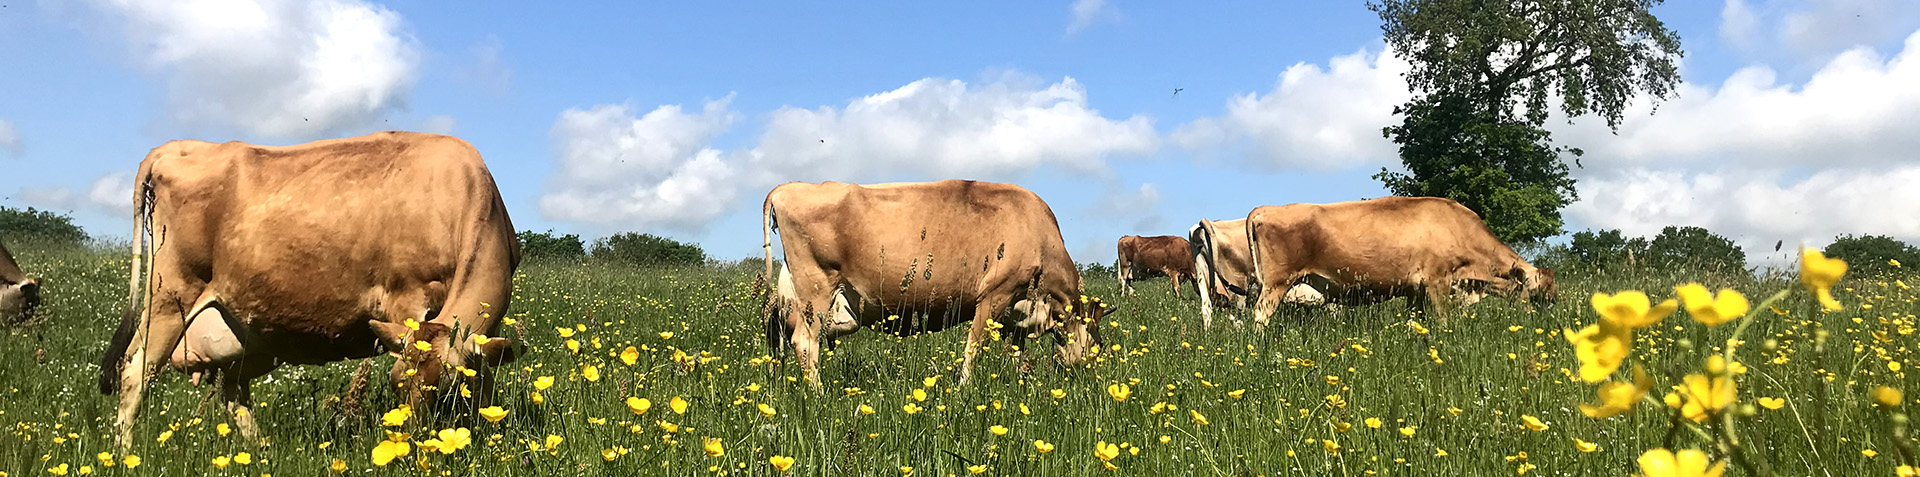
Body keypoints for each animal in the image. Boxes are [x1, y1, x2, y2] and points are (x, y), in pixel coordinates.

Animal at [98, 131, 522, 450]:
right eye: (395, 382)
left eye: (449, 390)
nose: (412, 439)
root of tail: (177, 146)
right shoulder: (405, 299)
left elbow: (486, 377)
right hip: (170, 294)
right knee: (135, 372)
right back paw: (123, 454)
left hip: (242, 331)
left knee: (232, 392)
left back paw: (262, 451)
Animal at [761, 180, 1114, 387]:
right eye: (1096, 344)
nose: (1089, 377)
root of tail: (788, 187)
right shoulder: (995, 294)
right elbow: (974, 346)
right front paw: (964, 389)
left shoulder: (1016, 313)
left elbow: (1017, 354)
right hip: (816, 290)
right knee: (805, 342)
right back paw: (818, 394)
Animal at [1243, 197, 1555, 328]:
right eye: (1537, 295)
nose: (1541, 321)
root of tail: (1267, 209)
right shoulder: (1438, 281)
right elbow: (1443, 319)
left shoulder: (1414, 292)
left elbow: (1414, 322)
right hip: (1277, 283)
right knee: (1261, 314)